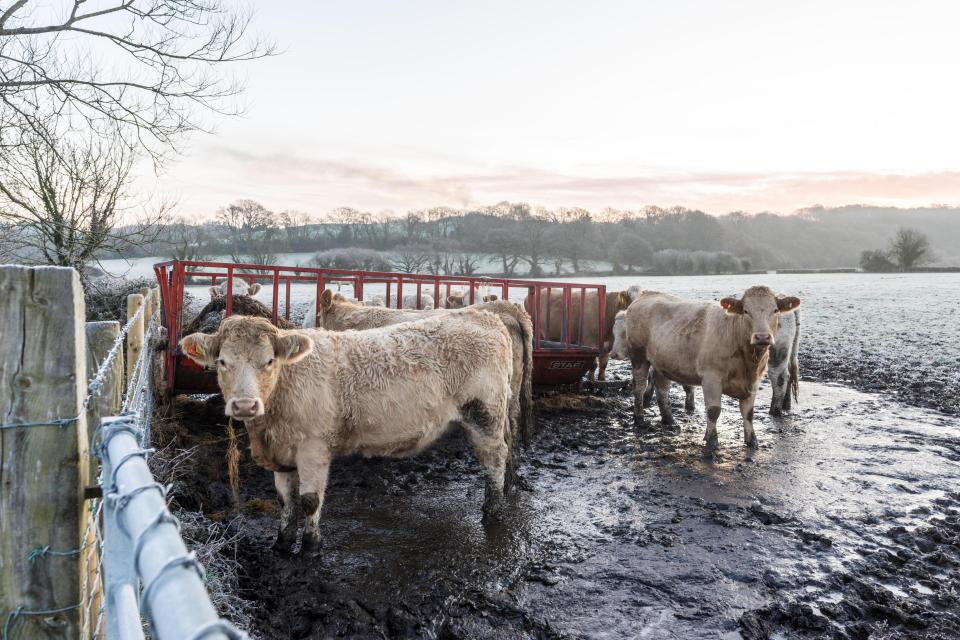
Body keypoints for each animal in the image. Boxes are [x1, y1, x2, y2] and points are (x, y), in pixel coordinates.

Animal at [180, 312, 516, 552]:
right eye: (223, 361)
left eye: (269, 360)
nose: (245, 405)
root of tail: (481, 315)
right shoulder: (282, 452)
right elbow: (285, 500)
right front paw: (282, 542)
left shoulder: (314, 448)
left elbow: (309, 501)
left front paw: (311, 547)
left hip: (484, 413)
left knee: (494, 458)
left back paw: (493, 509)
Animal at [620, 288, 800, 448]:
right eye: (745, 311)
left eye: (775, 310)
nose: (762, 337)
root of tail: (647, 294)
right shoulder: (711, 378)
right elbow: (714, 410)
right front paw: (712, 441)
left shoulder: (753, 381)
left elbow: (748, 413)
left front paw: (752, 441)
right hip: (638, 356)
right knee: (639, 386)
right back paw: (639, 419)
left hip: (662, 361)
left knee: (662, 388)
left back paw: (669, 420)